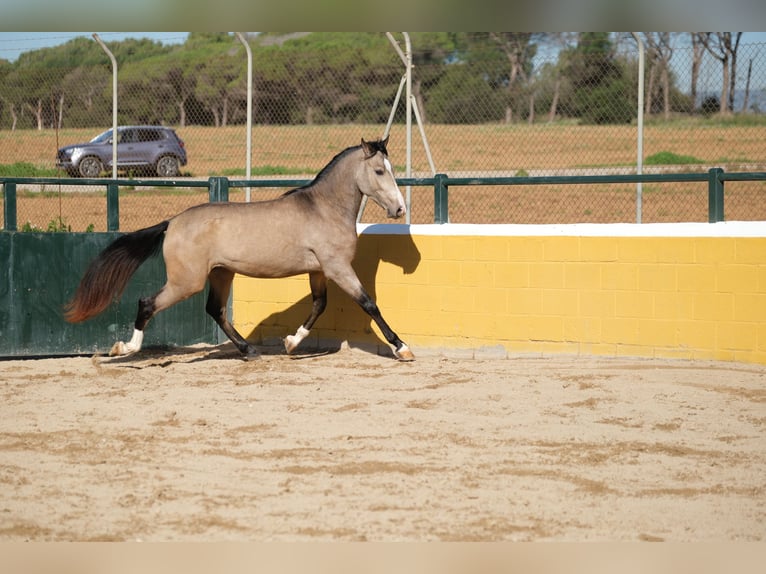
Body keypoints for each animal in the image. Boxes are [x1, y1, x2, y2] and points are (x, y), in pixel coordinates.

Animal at [63, 138, 416, 362]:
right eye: (380, 171)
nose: (399, 209)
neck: (324, 208)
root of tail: (172, 222)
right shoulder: (337, 267)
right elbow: (369, 304)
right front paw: (402, 348)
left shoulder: (318, 271)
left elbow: (319, 305)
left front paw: (290, 343)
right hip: (186, 282)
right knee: (148, 303)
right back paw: (124, 348)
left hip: (221, 274)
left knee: (215, 310)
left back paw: (249, 351)